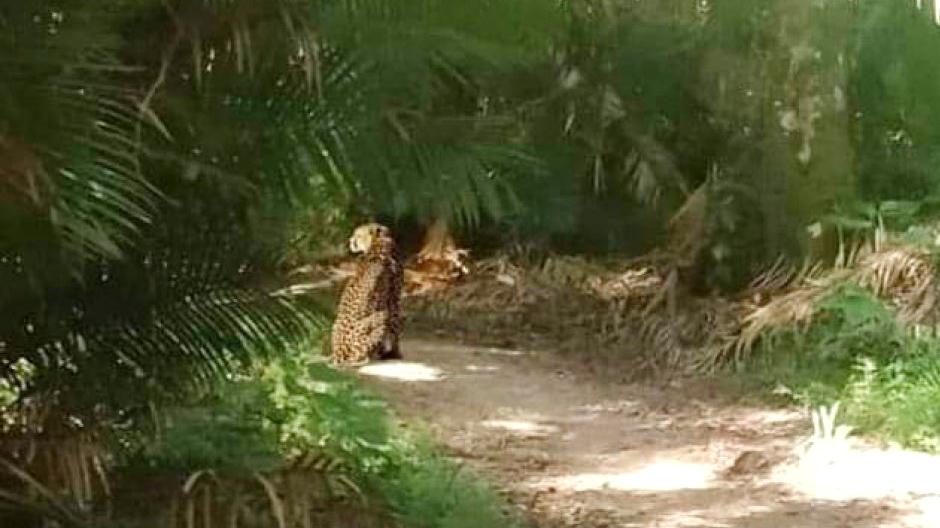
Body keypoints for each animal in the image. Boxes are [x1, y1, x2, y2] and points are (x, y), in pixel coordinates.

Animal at [330, 221, 404, 366]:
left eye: (357, 235)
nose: (350, 241)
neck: (377, 242)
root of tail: (338, 354)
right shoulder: (394, 299)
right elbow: (395, 326)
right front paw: (395, 353)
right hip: (381, 316)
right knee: (357, 357)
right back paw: (368, 358)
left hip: (335, 325)